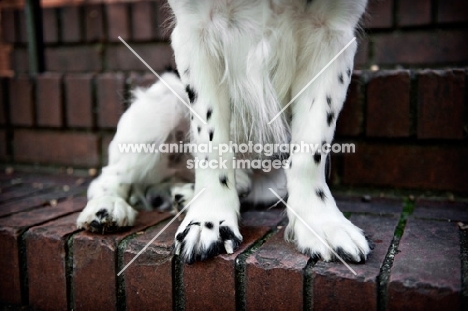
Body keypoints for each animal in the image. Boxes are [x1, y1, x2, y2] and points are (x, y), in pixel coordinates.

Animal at [77, 0, 372, 266]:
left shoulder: (333, 36)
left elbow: (311, 150)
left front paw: (321, 223)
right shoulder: (197, 31)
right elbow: (211, 141)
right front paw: (208, 220)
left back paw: (185, 195)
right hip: (160, 106)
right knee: (107, 178)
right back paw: (107, 207)